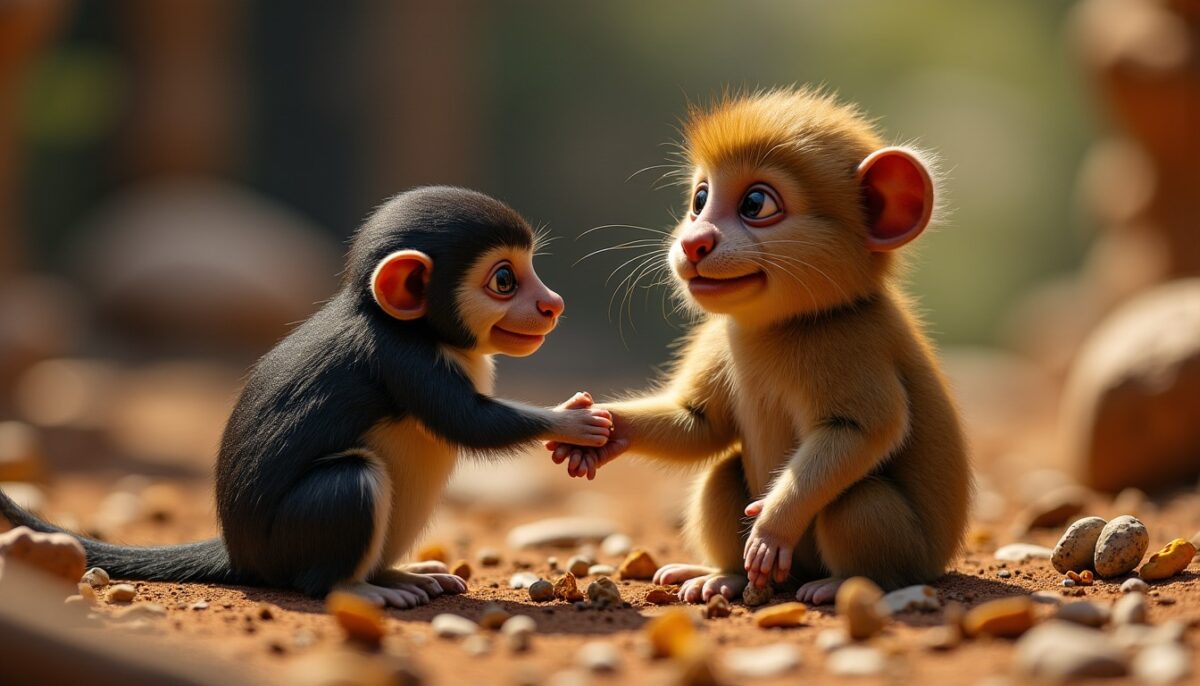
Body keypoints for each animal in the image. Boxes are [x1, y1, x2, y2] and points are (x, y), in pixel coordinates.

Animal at [0, 186, 613, 608]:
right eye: (504, 281)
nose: (552, 304)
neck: (412, 326)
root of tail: (240, 553)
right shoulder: (403, 360)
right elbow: (469, 423)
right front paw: (575, 424)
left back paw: (396, 574)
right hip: (304, 531)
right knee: (348, 489)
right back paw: (358, 589)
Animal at [549, 88, 971, 605]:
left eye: (755, 203)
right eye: (700, 198)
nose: (693, 243)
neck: (776, 326)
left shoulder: (852, 343)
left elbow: (863, 430)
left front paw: (770, 529)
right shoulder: (717, 339)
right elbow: (700, 423)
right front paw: (596, 426)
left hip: (907, 553)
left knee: (856, 500)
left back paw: (839, 583)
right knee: (722, 472)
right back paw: (720, 576)